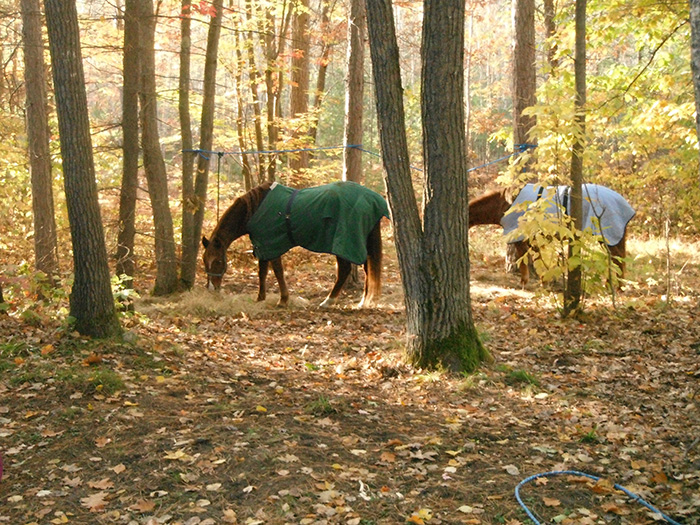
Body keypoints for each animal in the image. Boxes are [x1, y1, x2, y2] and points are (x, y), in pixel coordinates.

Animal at [202, 180, 389, 308]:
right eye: (205, 262)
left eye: (218, 261)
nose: (211, 288)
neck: (254, 210)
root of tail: (373, 199)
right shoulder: (262, 244)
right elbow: (262, 272)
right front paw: (260, 298)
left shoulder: (271, 244)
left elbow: (277, 271)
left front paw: (283, 300)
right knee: (367, 269)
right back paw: (363, 302)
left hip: (343, 244)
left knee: (345, 270)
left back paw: (329, 301)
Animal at [468, 183, 635, 286]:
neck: (504, 205)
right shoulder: (533, 239)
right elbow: (538, 259)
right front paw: (544, 282)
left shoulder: (520, 238)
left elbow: (525, 262)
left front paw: (525, 282)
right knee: (616, 259)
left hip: (607, 236)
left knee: (617, 259)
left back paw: (616, 287)